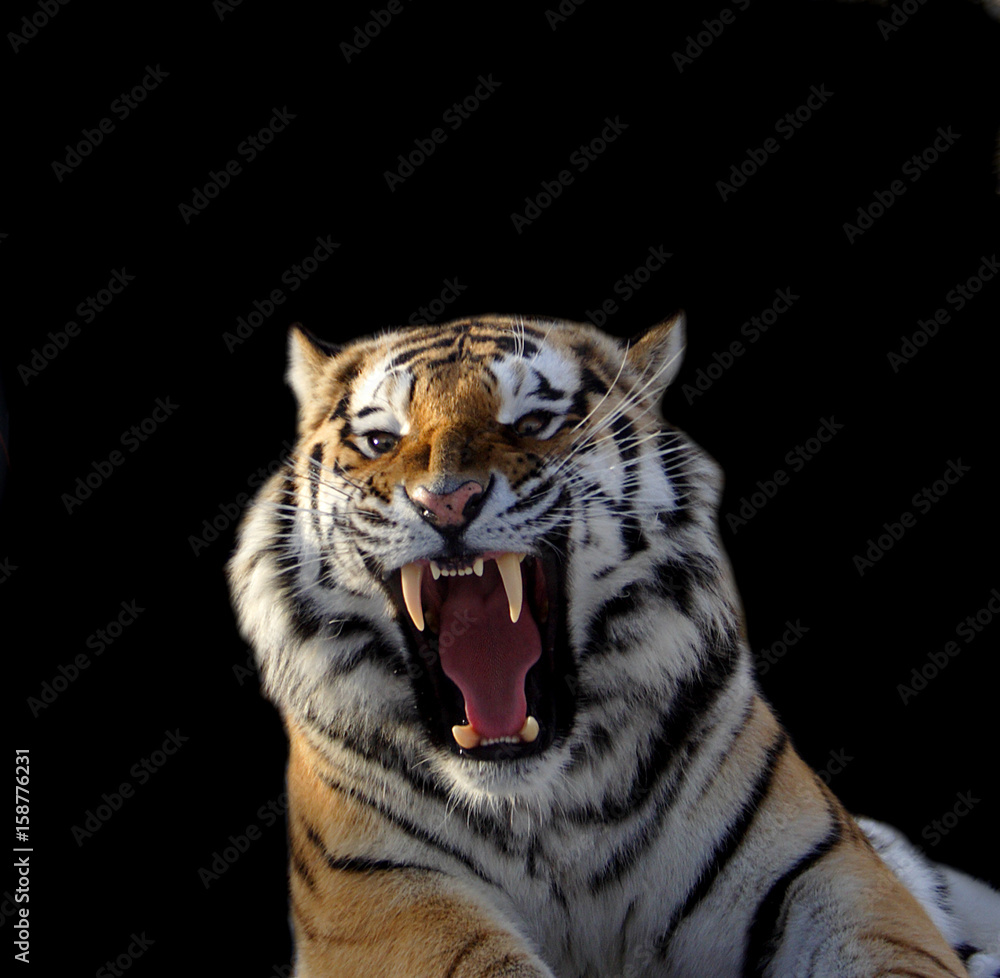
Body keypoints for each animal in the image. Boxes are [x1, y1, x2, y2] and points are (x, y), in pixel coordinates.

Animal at [227, 312, 1000, 977]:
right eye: (382, 442)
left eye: (532, 423)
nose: (446, 501)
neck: (542, 806)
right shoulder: (385, 895)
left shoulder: (826, 872)